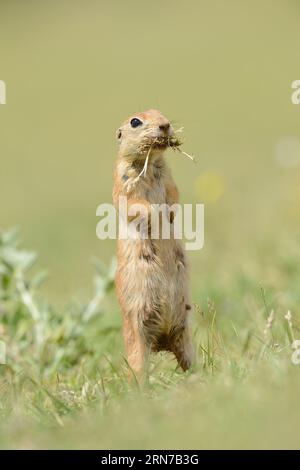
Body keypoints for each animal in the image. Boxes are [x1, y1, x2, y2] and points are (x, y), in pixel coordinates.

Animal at [113, 110, 195, 378]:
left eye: (160, 113)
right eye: (135, 121)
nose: (166, 124)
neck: (149, 164)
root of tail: (162, 340)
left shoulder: (169, 177)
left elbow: (174, 194)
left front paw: (168, 214)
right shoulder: (123, 180)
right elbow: (132, 204)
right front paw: (154, 214)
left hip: (185, 335)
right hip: (136, 339)